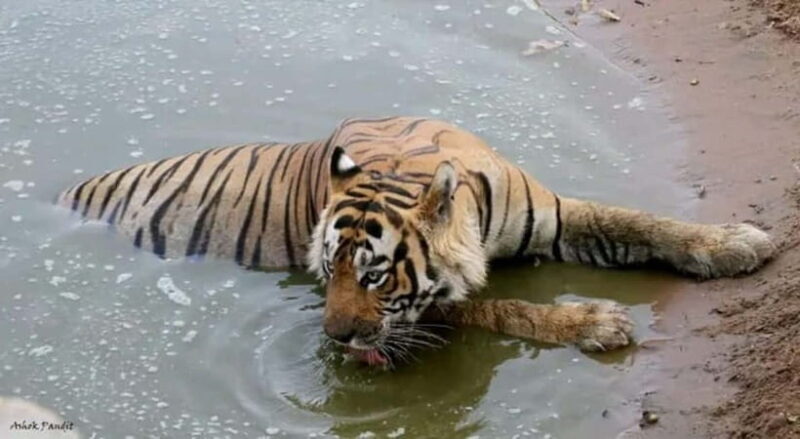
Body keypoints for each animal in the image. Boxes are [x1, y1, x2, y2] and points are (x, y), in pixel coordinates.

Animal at [58, 116, 776, 366]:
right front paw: (595, 320)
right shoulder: (442, 305)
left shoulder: (558, 217)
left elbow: (637, 222)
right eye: (327, 273)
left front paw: (736, 240)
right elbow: (505, 306)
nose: (334, 339)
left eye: (374, 276)